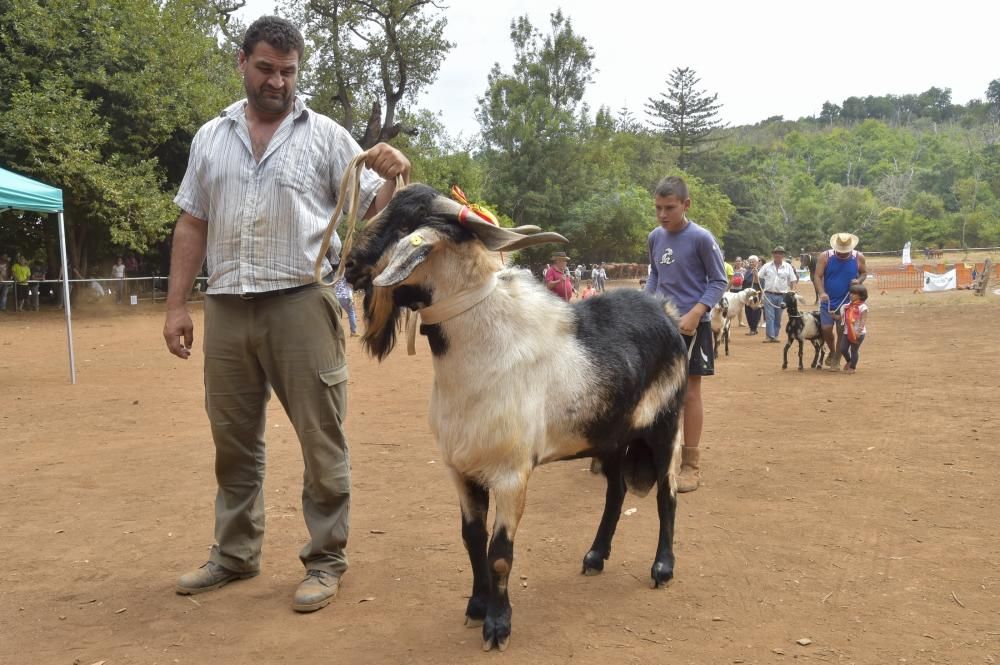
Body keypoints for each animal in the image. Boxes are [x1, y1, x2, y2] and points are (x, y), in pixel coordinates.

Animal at [342, 184, 688, 652]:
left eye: (404, 225)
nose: (349, 266)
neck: (484, 347)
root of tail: (666, 313)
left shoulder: (511, 474)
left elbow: (500, 554)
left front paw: (498, 625)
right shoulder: (460, 469)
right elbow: (472, 540)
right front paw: (475, 606)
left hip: (665, 425)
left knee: (666, 494)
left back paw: (662, 568)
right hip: (611, 435)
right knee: (615, 492)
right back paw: (595, 556)